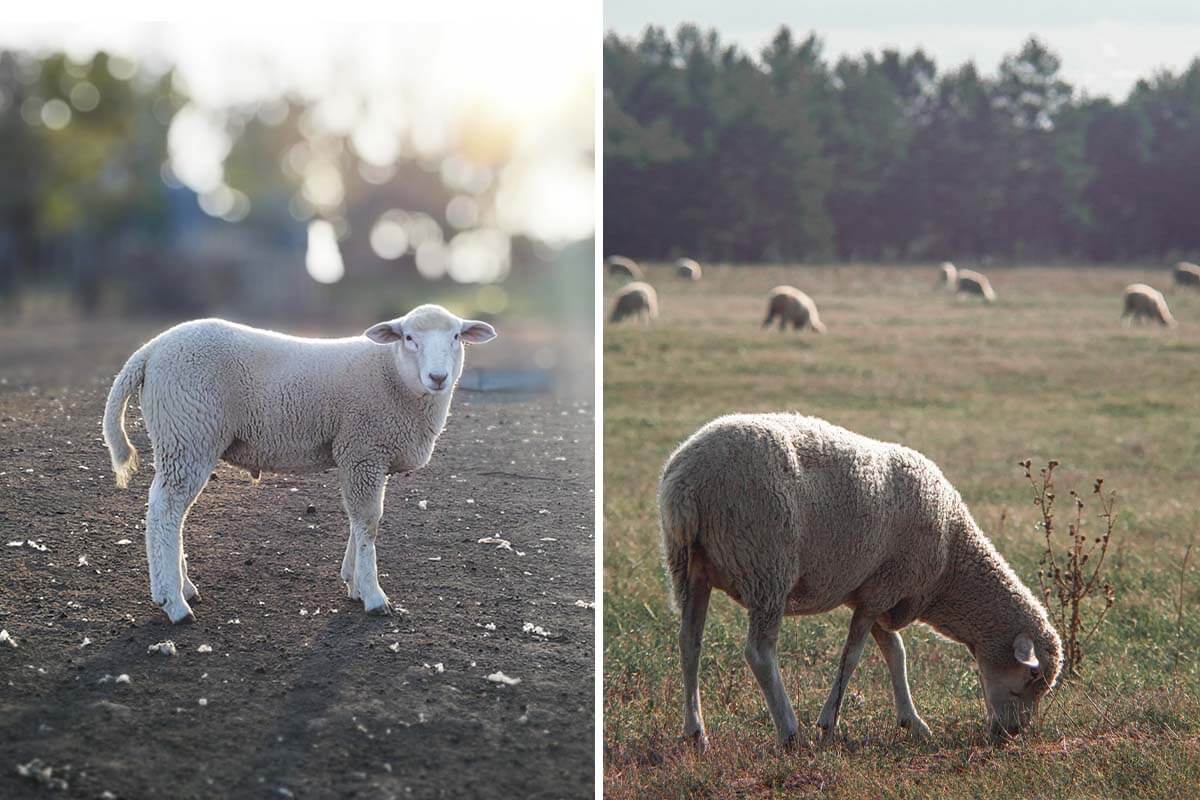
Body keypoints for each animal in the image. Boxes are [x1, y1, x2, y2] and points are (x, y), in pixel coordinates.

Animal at [102, 303, 496, 623]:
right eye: (409, 337)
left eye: (457, 336)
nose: (438, 377)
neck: (394, 375)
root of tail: (150, 350)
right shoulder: (364, 449)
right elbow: (368, 522)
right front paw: (372, 595)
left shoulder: (359, 456)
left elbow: (357, 520)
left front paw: (353, 581)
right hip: (187, 433)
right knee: (164, 513)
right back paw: (173, 603)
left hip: (184, 437)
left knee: (173, 514)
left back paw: (184, 589)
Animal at [662, 412, 1065, 753]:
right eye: (1032, 677)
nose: (1012, 734)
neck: (950, 563)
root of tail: (688, 484)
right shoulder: (882, 589)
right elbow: (853, 657)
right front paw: (829, 724)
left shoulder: (876, 592)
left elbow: (895, 652)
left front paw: (912, 722)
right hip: (767, 566)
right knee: (759, 653)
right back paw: (789, 731)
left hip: (689, 568)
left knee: (689, 643)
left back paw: (696, 733)